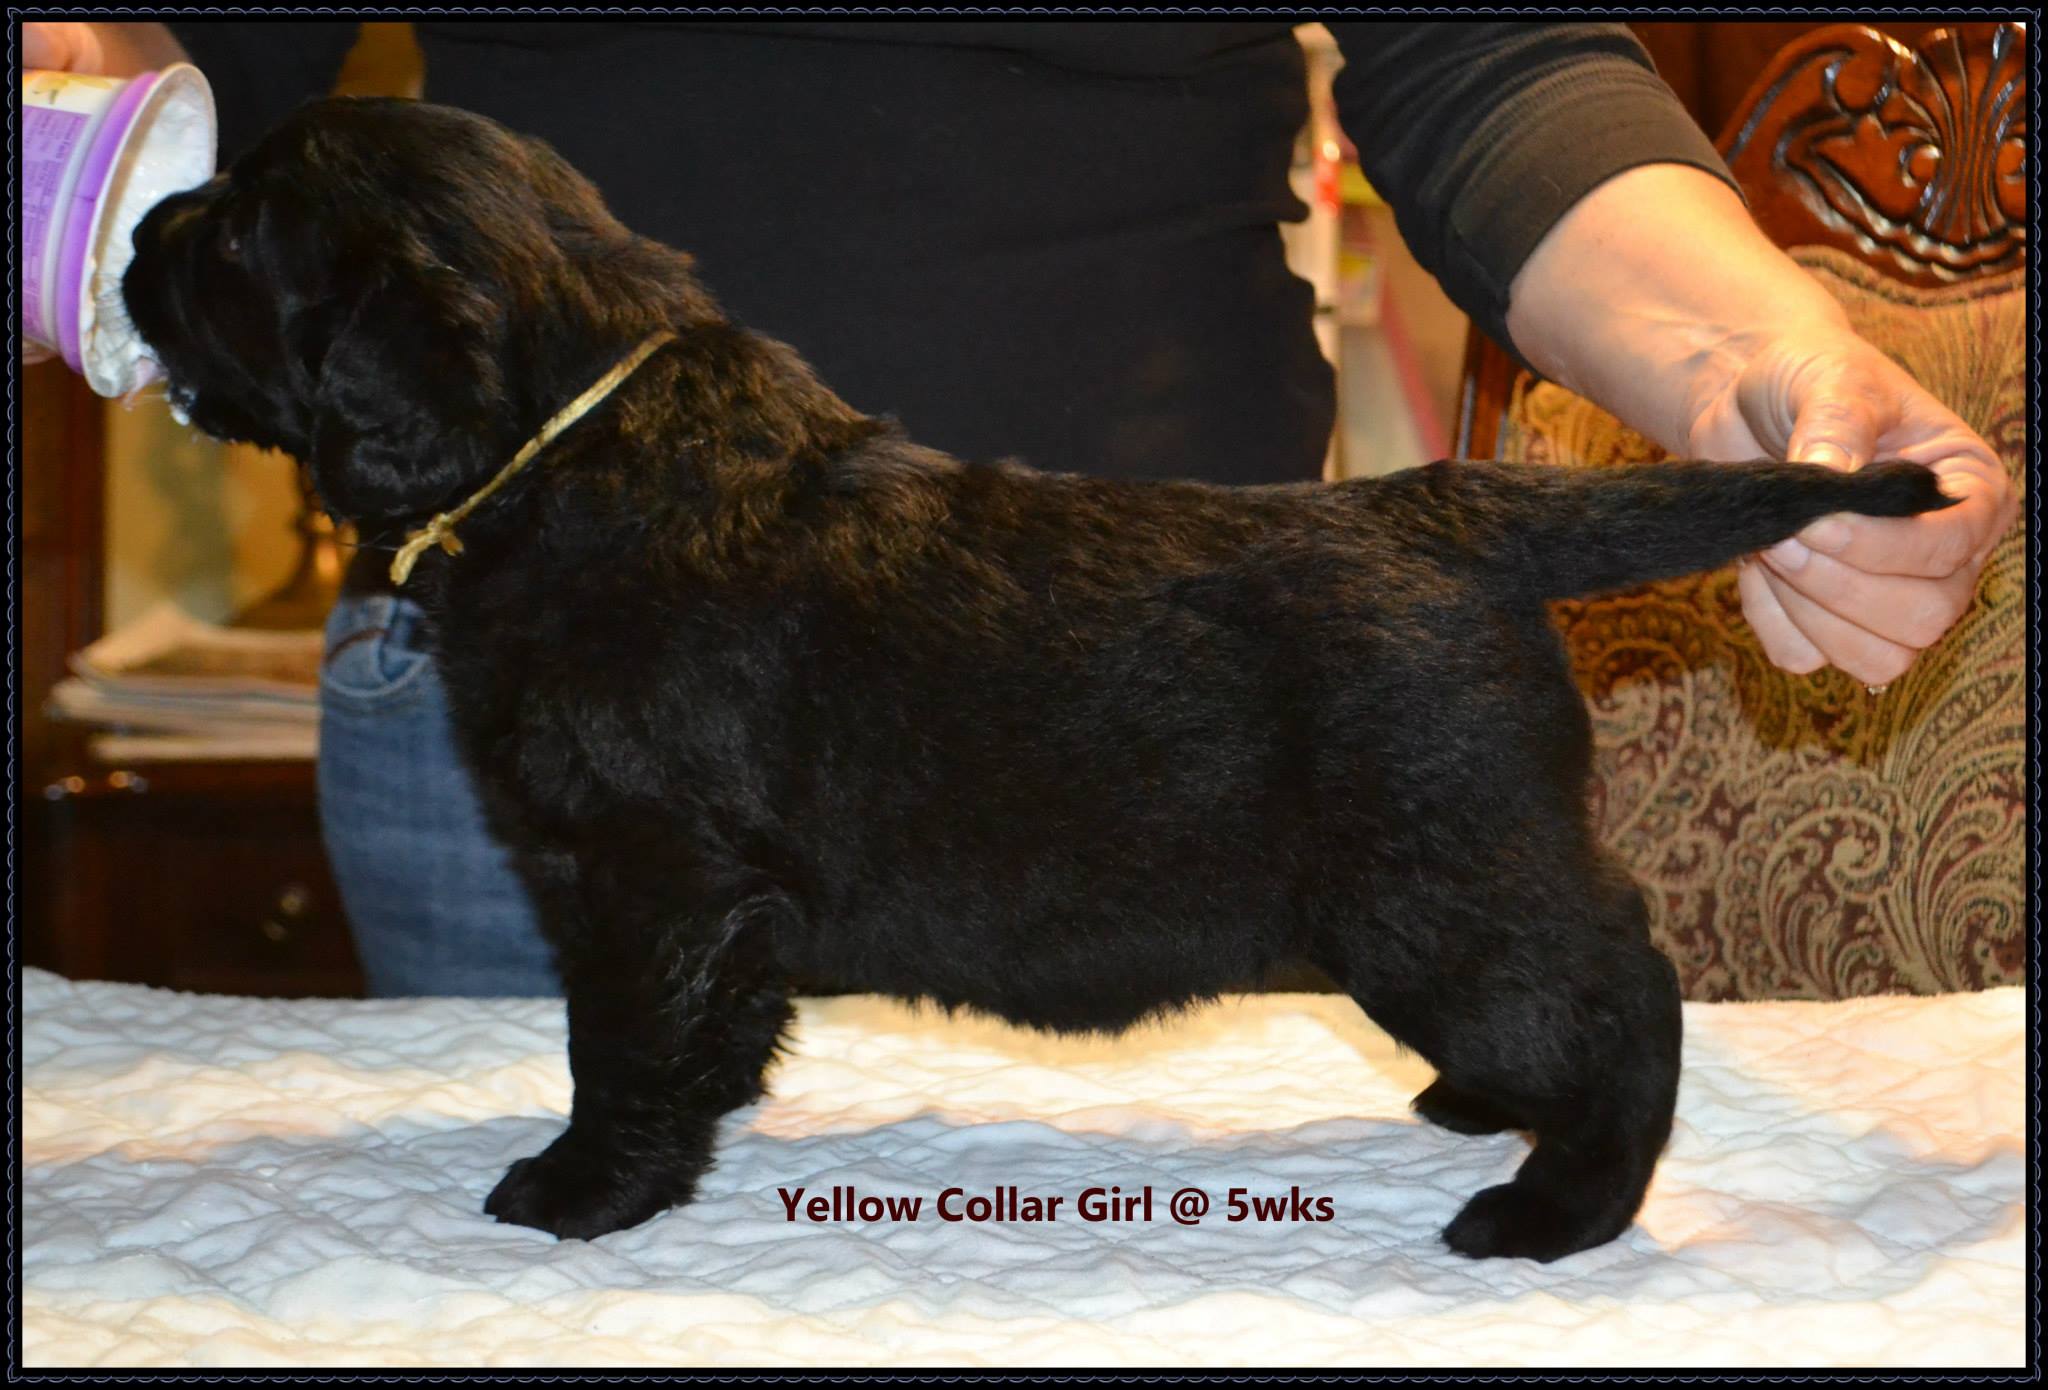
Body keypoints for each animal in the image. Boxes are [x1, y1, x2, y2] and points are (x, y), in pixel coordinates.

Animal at [123, 97, 1949, 1261]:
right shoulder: (690, 899)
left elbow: (620, 1045)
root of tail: (1458, 507)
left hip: (1437, 886)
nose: (142, 222)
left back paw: (1558, 1208)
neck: (574, 451)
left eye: (246, 231)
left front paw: (584, 1190)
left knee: (1629, 986)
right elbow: (699, 1029)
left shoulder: (651, 875)